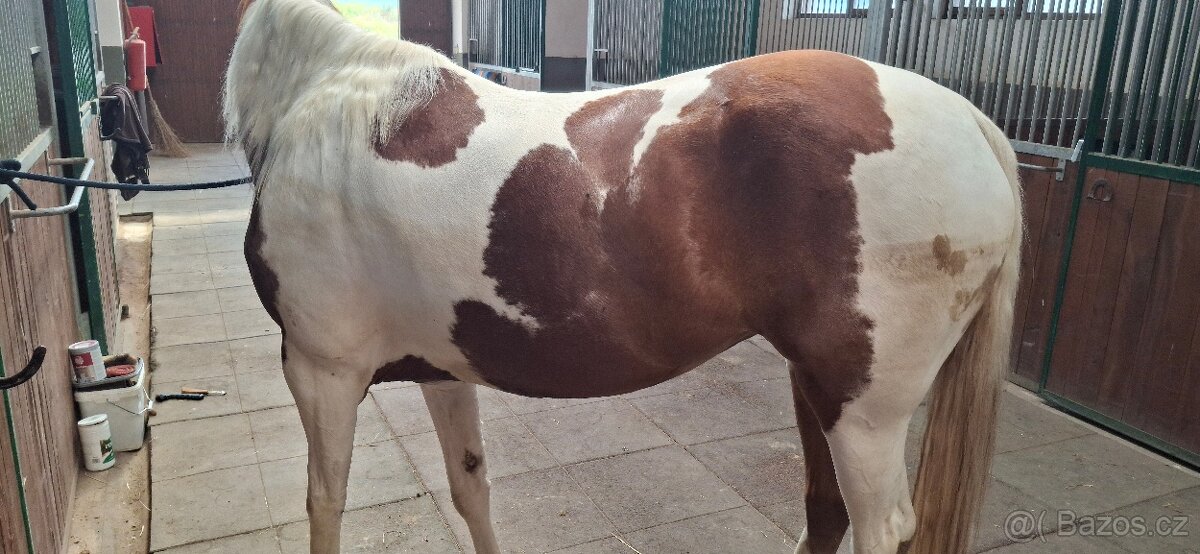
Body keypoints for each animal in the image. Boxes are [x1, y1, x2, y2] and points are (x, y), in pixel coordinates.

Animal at [224, 1, 1022, 552]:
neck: (325, 103)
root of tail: (974, 123)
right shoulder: (441, 367)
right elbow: (470, 487)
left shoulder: (323, 370)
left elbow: (325, 503)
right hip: (816, 385)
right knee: (825, 513)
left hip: (866, 412)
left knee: (880, 526)